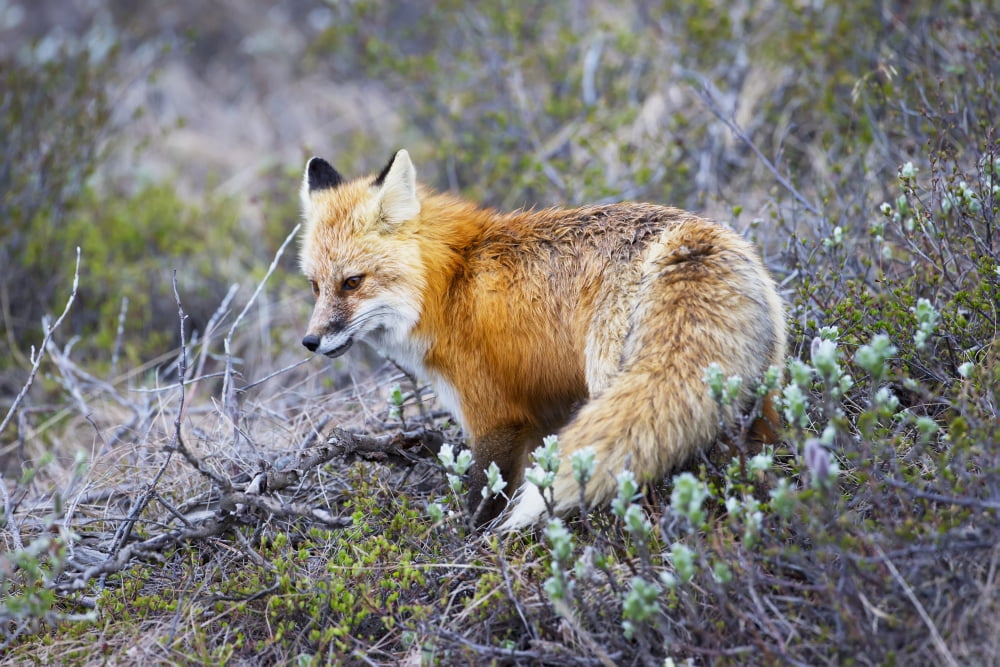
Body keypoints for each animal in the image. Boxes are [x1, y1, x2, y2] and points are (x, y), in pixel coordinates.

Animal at [299, 149, 786, 530]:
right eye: (315, 287)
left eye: (352, 282)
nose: (310, 341)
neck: (450, 282)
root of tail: (690, 239)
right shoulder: (541, 420)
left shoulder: (495, 417)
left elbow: (483, 501)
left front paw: (470, 547)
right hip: (758, 399)